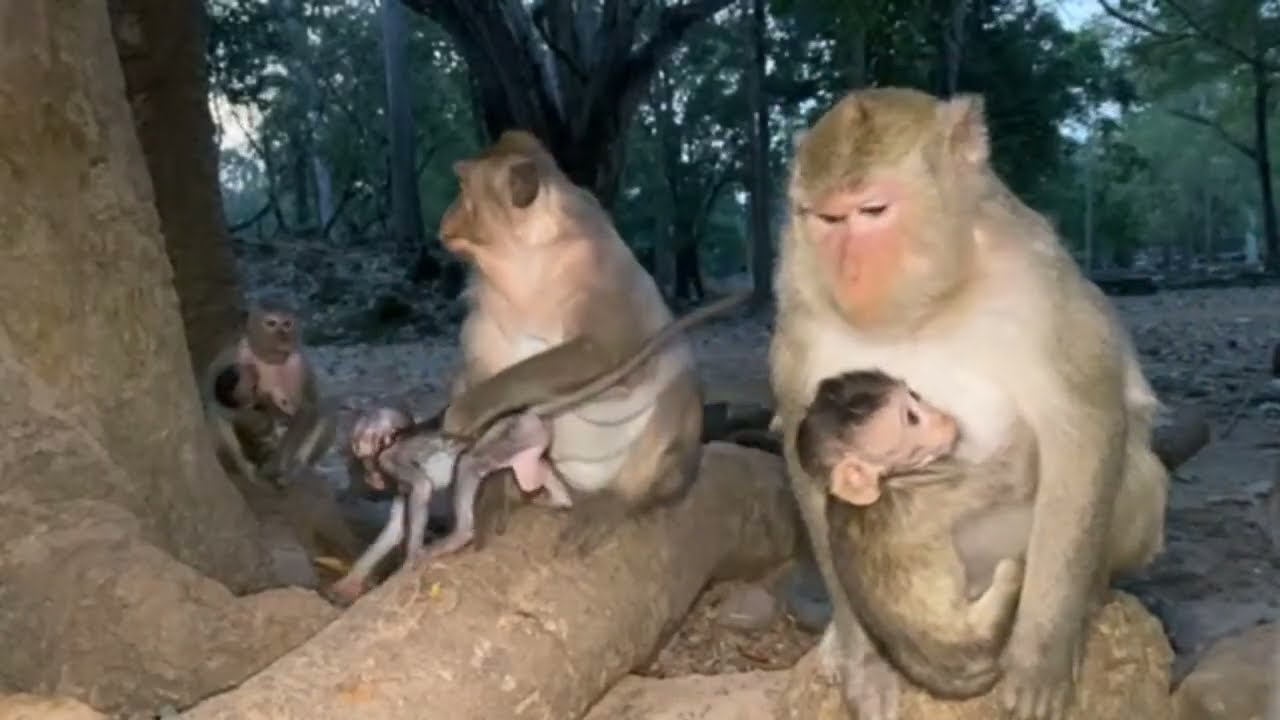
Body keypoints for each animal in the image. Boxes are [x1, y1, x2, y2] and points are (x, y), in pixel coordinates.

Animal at [323, 291, 750, 606]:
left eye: (359, 458)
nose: (362, 478)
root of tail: (527, 412)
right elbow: (395, 526)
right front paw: (351, 581)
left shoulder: (395, 461)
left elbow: (423, 491)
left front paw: (410, 559)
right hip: (529, 442)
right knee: (537, 472)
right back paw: (556, 500)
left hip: (511, 433)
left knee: (471, 464)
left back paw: (461, 534)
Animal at [431, 129, 722, 558]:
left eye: (463, 187)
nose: (446, 216)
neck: (526, 266)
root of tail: (585, 486)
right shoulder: (484, 306)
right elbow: (479, 370)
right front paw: (489, 483)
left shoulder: (603, 275)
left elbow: (609, 353)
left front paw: (465, 412)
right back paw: (510, 491)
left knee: (678, 387)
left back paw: (626, 498)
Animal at [796, 369, 1035, 699]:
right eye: (912, 418)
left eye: (916, 397)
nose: (945, 418)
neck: (888, 480)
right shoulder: (937, 485)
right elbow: (1016, 472)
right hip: (978, 635)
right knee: (1008, 573)